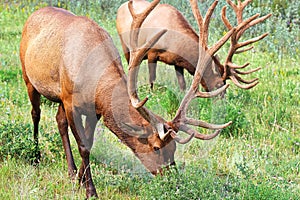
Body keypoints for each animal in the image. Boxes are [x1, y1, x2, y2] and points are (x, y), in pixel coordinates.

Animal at [116, 0, 270, 90]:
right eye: (219, 84)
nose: (222, 102)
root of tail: (121, 7)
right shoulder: (152, 52)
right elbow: (152, 79)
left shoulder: (176, 61)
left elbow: (182, 84)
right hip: (125, 45)